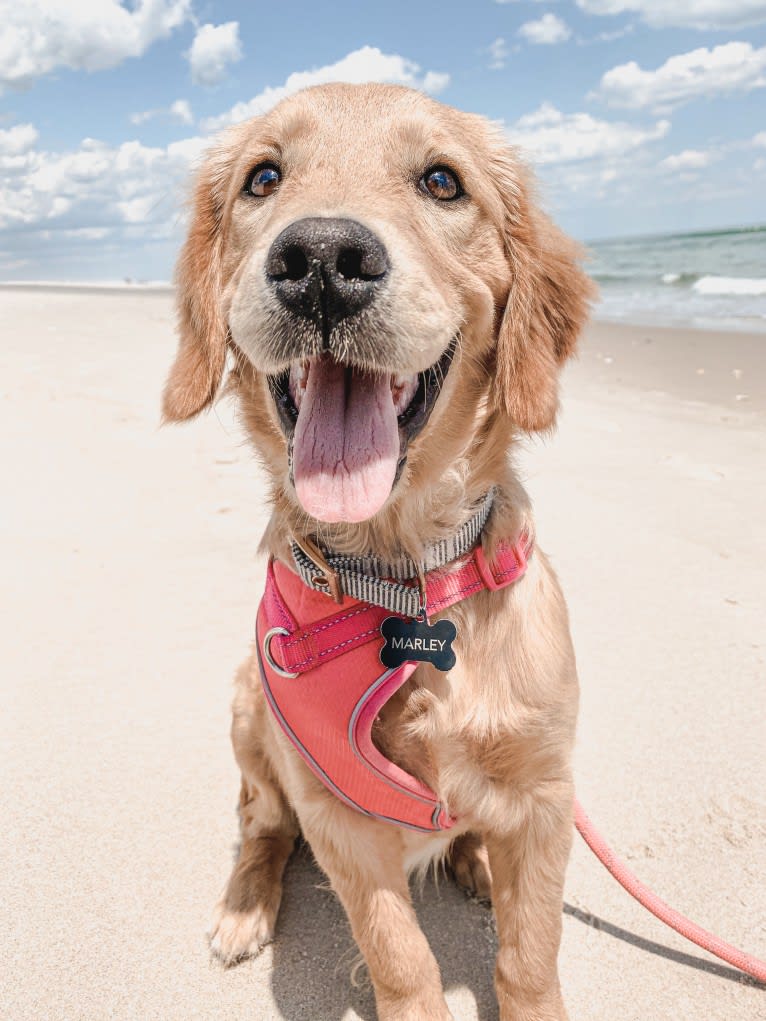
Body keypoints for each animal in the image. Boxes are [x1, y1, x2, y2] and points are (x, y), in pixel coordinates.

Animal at [162, 81, 592, 1021]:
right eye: (263, 177)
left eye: (442, 181)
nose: (323, 257)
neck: (406, 582)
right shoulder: (341, 822)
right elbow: (402, 960)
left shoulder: (546, 795)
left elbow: (530, 956)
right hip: (247, 712)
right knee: (259, 824)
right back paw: (244, 906)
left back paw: (474, 857)